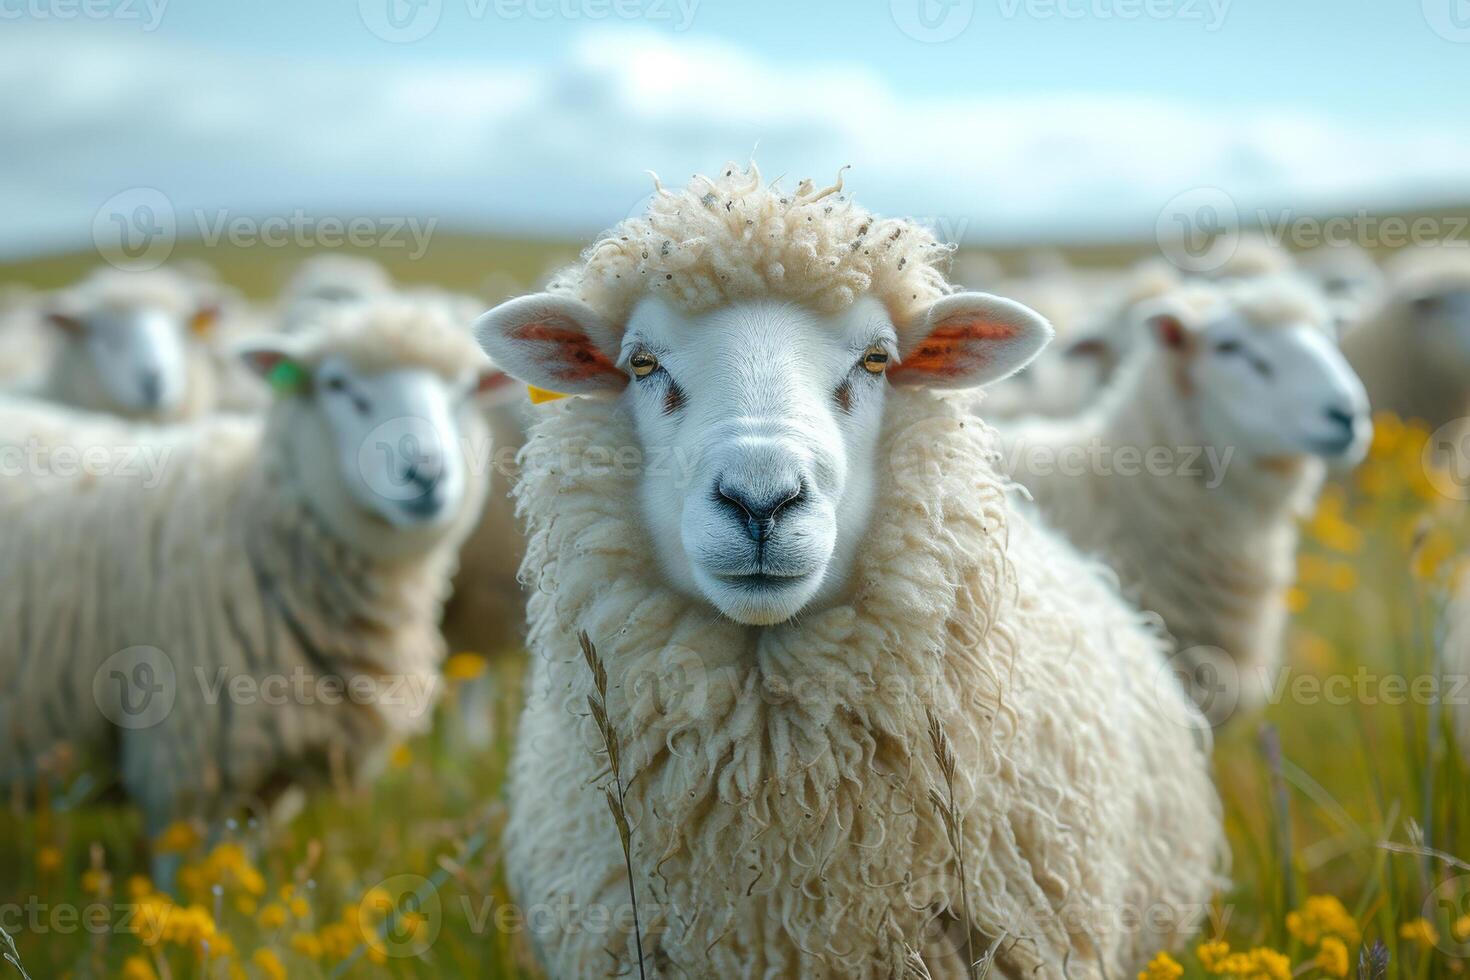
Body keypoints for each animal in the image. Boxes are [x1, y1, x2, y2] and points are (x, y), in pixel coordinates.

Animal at [0, 296, 511, 863]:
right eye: (336, 384)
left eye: (465, 391)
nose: (426, 474)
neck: (253, 520)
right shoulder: (185, 765)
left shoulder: (269, 776)